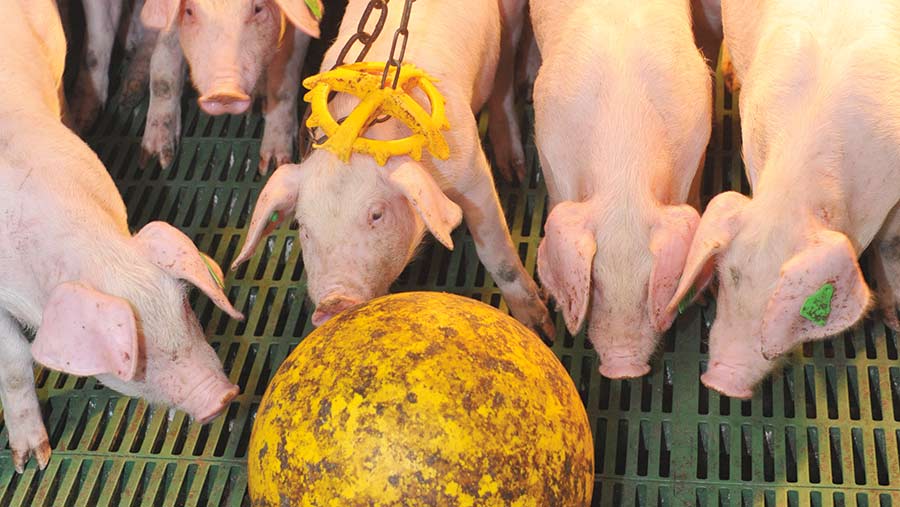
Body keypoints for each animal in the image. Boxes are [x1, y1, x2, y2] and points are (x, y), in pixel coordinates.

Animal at [139, 0, 322, 173]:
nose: (224, 92)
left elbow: (283, 79)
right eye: (189, 11)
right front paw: (154, 159)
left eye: (258, 9)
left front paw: (273, 165)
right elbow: (163, 65)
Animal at [230, 0, 556, 342]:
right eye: (303, 227)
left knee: (504, 73)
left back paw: (514, 167)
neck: (360, 130)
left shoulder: (470, 169)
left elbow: (494, 248)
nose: (333, 302)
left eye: (377, 214)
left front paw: (540, 328)